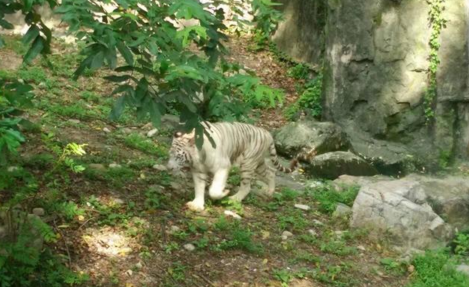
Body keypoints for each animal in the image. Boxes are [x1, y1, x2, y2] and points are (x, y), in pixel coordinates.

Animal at [166, 121, 316, 212]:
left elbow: (214, 190)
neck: (197, 158)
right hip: (258, 164)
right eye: (170, 155)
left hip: (247, 164)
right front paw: (197, 204)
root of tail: (267, 133)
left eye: (178, 156)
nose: (168, 168)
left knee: (246, 186)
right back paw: (269, 191)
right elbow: (199, 188)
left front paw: (224, 192)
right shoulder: (198, 171)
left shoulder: (222, 167)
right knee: (270, 172)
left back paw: (234, 198)